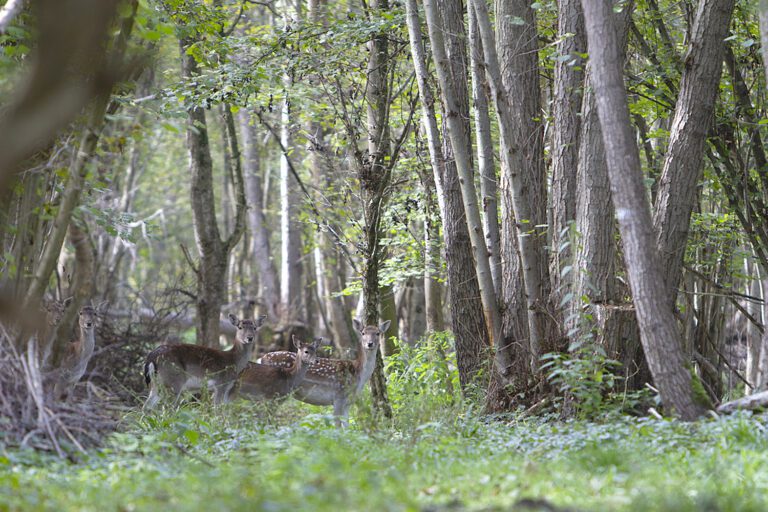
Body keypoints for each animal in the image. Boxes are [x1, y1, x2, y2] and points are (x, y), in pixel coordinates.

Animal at [258, 318, 390, 426]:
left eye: (378, 333)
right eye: (363, 333)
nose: (369, 344)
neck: (358, 374)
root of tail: (262, 358)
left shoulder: (348, 402)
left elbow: (347, 426)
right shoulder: (338, 396)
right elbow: (337, 424)